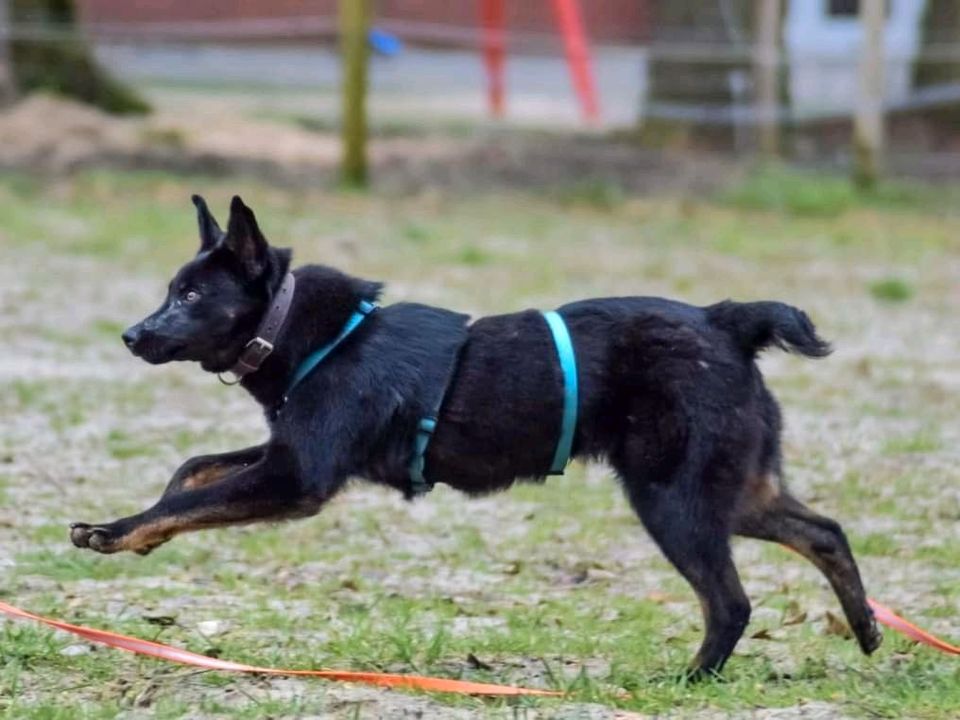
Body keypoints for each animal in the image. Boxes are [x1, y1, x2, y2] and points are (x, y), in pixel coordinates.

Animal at [71, 195, 880, 676]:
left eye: (190, 295)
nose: (131, 335)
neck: (310, 332)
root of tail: (725, 322)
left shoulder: (296, 477)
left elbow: (190, 495)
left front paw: (117, 531)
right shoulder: (285, 455)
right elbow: (192, 471)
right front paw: (144, 528)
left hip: (673, 500)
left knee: (731, 601)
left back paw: (693, 677)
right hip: (730, 490)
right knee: (824, 532)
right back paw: (869, 632)